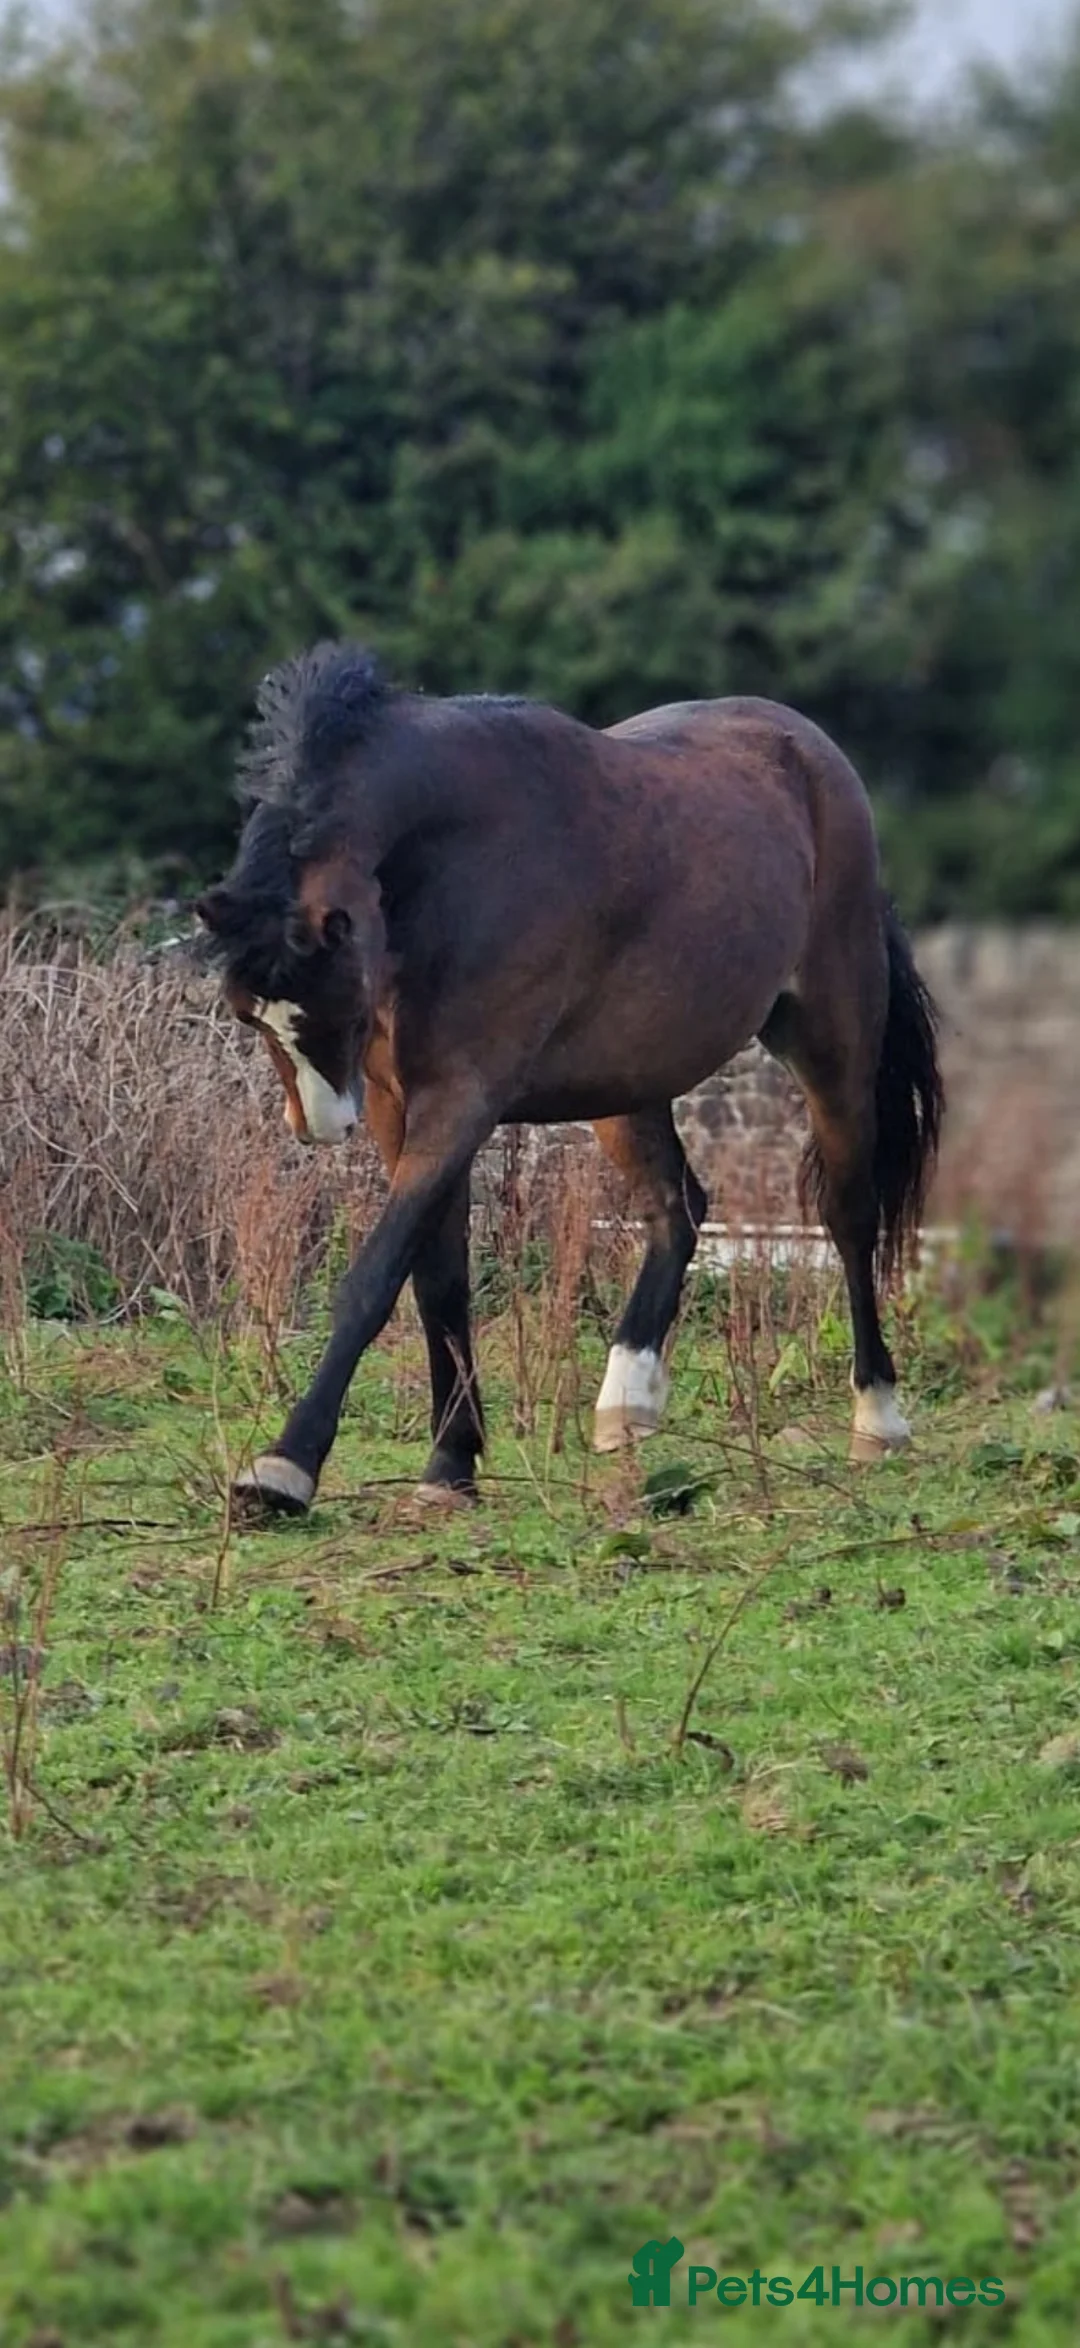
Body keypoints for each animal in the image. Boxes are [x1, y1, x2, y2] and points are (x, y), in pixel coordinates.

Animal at [196, 643, 943, 1516]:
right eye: (250, 1016)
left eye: (332, 1005)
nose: (318, 1127)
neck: (457, 857)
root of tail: (812, 752)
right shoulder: (395, 1106)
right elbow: (437, 1281)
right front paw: (451, 1462)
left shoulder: (462, 1098)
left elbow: (376, 1276)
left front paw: (284, 1468)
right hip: (630, 1086)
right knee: (677, 1210)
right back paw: (627, 1403)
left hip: (830, 1044)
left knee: (849, 1218)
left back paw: (877, 1419)